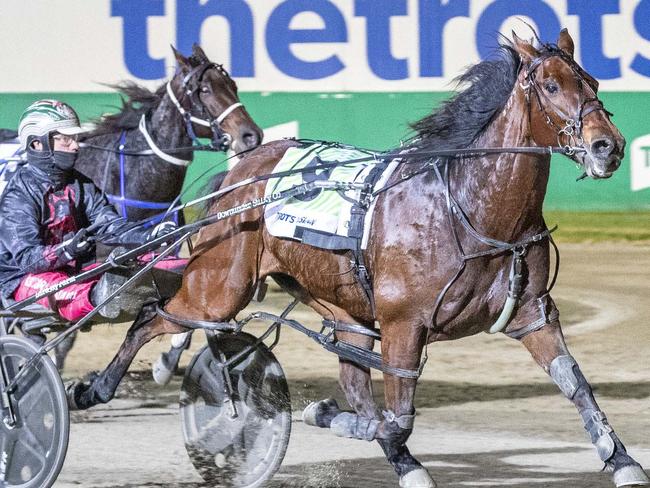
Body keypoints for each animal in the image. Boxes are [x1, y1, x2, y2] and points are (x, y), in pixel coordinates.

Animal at [63, 31, 644, 488]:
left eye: (592, 83)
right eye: (551, 87)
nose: (607, 147)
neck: (469, 209)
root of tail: (242, 170)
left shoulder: (532, 314)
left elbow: (578, 387)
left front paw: (622, 461)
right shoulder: (404, 325)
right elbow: (398, 416)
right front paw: (328, 415)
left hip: (343, 310)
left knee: (350, 382)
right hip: (217, 288)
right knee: (152, 316)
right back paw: (92, 388)